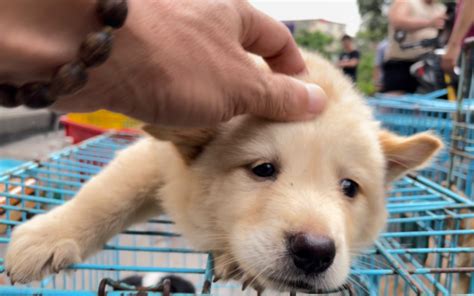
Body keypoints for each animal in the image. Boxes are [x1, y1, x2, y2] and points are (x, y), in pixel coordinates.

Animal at [3, 50, 442, 292]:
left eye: (350, 187)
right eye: (262, 170)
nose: (315, 252)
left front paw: (234, 259)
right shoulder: (155, 158)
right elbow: (106, 195)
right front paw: (46, 238)